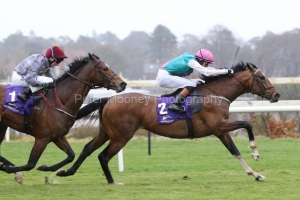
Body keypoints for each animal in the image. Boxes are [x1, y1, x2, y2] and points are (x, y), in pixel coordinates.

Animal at [0, 52, 126, 183]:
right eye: (105, 68)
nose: (122, 84)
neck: (60, 101)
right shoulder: (42, 138)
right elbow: (30, 164)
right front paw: (8, 169)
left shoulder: (57, 136)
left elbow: (71, 155)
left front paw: (47, 168)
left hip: (2, 125)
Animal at [56, 61, 282, 184]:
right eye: (262, 77)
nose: (277, 95)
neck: (215, 94)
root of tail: (108, 99)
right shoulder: (219, 126)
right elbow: (247, 125)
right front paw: (255, 153)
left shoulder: (220, 131)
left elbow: (234, 151)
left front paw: (255, 174)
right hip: (121, 136)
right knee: (103, 156)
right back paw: (112, 182)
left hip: (106, 132)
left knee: (87, 149)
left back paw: (66, 172)